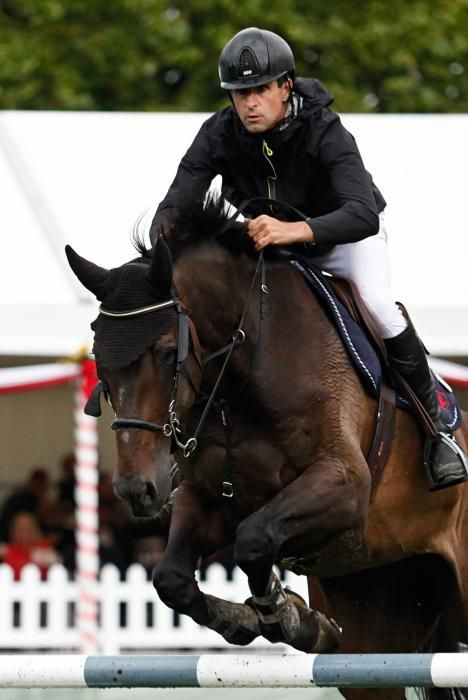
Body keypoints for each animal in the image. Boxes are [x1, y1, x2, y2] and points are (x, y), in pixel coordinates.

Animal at [65, 197, 468, 700]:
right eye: (99, 359)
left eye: (167, 352)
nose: (136, 490)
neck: (245, 372)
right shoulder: (211, 498)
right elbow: (172, 577)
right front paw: (267, 621)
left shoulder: (345, 483)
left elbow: (255, 539)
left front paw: (285, 612)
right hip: (377, 608)